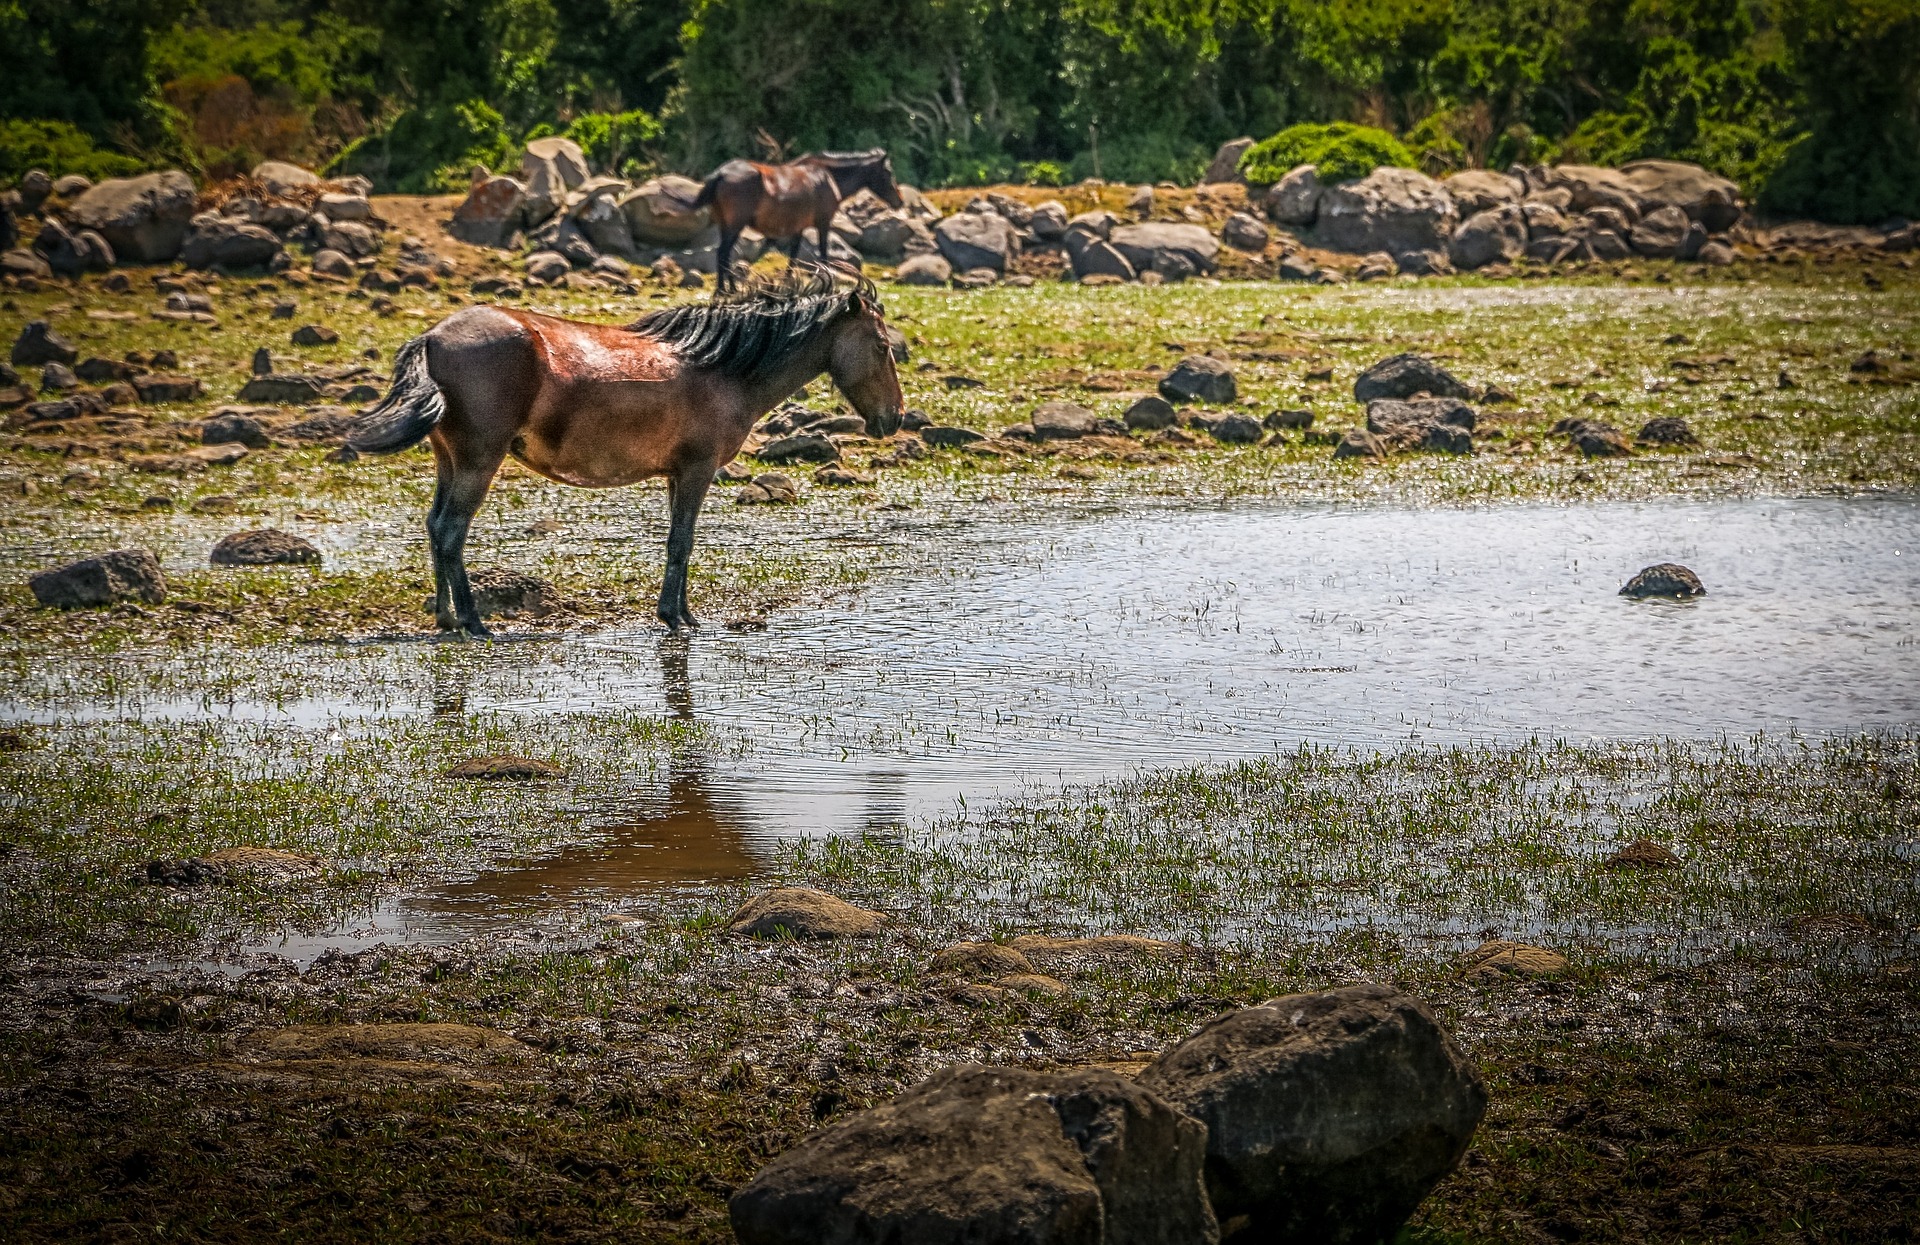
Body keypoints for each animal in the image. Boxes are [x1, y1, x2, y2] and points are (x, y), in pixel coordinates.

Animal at [347, 276, 906, 637]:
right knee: (451, 530)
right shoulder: (698, 471)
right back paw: (472, 621)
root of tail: (432, 337)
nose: (894, 417)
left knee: (435, 526)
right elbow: (682, 542)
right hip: (478, 462)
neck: (722, 369)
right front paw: (678, 618)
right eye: (882, 346)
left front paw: (679, 612)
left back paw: (445, 616)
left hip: (449, 460)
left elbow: (678, 544)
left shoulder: (677, 475)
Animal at [695, 148, 902, 292]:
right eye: (888, 172)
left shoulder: (798, 228)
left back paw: (730, 289)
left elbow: (793, 256)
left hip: (726, 226)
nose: (899, 201)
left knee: (726, 255)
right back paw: (723, 290)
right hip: (735, 226)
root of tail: (721, 174)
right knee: (723, 253)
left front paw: (788, 283)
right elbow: (823, 255)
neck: (827, 177)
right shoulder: (823, 223)